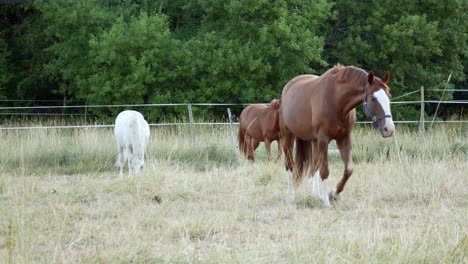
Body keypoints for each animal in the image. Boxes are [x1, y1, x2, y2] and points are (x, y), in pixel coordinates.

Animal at [282, 64, 394, 206]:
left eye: (389, 96)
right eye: (373, 98)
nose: (389, 129)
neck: (336, 100)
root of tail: (288, 87)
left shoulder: (344, 138)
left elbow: (348, 170)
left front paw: (333, 193)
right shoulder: (324, 140)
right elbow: (325, 171)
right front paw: (326, 202)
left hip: (314, 141)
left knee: (314, 166)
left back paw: (316, 195)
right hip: (288, 137)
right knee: (290, 165)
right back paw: (291, 196)